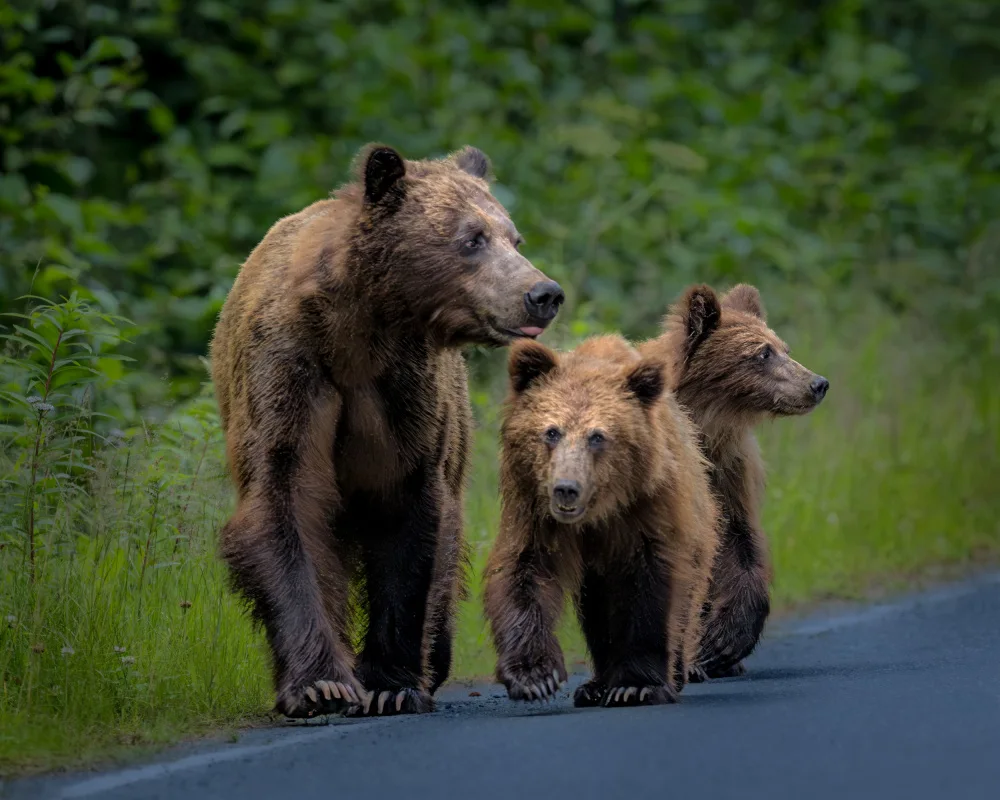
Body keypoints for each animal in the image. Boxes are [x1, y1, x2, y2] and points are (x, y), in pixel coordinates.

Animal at [210, 143, 564, 718]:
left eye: (515, 238)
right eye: (472, 238)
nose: (543, 293)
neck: (358, 330)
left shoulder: (402, 392)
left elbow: (407, 516)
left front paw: (390, 684)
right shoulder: (291, 375)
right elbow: (285, 502)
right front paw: (321, 684)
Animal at [483, 335, 719, 707]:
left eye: (598, 436)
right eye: (551, 432)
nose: (566, 489)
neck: (599, 513)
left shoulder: (649, 506)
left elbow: (651, 585)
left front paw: (636, 685)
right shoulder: (534, 507)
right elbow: (523, 571)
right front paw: (535, 677)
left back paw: (676, 671)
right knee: (595, 607)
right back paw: (595, 685)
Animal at [639, 283, 829, 679]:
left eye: (784, 348)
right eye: (762, 353)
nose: (818, 383)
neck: (706, 425)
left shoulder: (730, 471)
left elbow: (742, 544)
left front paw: (723, 642)